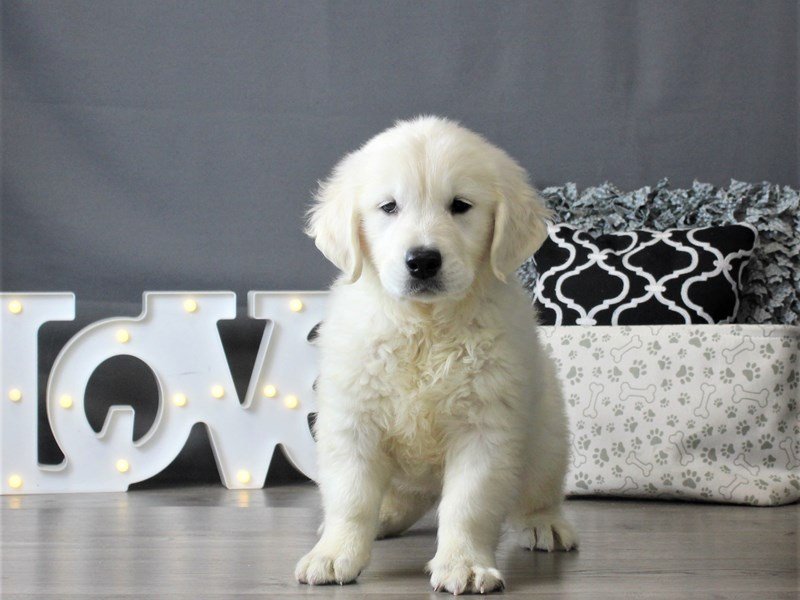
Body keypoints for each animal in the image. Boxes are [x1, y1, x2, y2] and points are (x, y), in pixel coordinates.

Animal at [294, 115, 576, 592]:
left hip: (548, 428)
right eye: (389, 207)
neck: (424, 327)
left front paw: (464, 564)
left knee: (538, 487)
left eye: (460, 206)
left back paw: (544, 523)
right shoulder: (353, 420)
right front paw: (333, 554)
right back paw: (383, 516)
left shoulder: (485, 428)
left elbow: (468, 505)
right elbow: (350, 497)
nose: (423, 261)